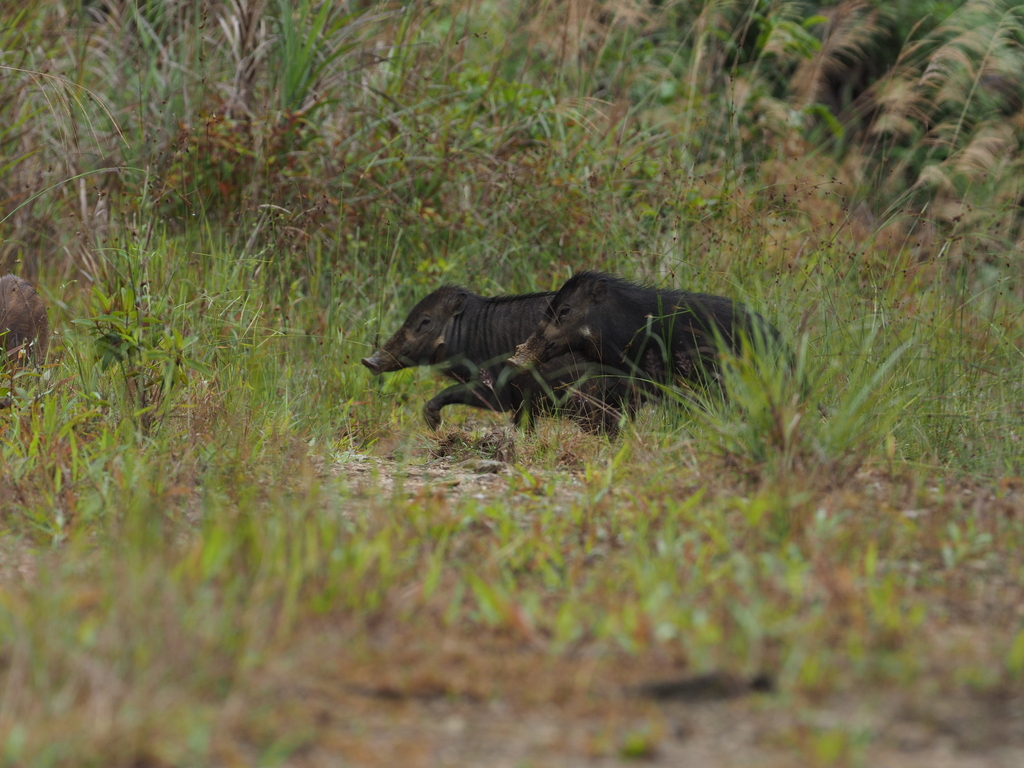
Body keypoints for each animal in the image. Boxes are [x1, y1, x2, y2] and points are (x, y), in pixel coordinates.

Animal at [361, 285, 625, 431]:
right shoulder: (523, 401)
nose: (368, 361)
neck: (468, 333)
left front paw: (435, 424)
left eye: (425, 321)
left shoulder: (498, 391)